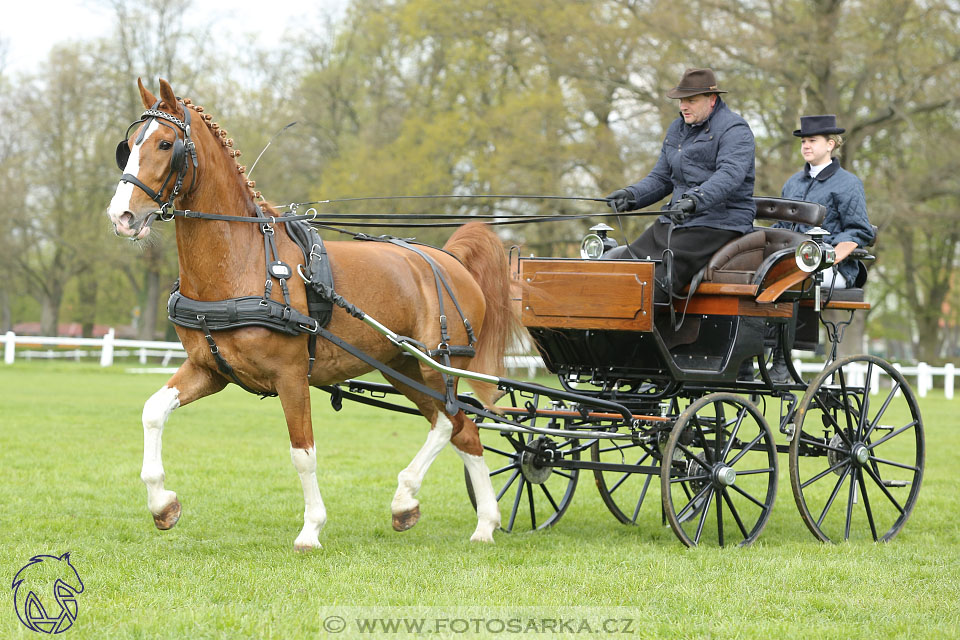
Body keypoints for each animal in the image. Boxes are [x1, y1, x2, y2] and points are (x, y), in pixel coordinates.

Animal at [107, 79, 516, 552]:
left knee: (450, 424)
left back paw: (408, 497)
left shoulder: (289, 375)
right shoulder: (209, 369)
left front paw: (311, 528)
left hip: (437, 365)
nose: (121, 215)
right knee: (463, 430)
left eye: (165, 144)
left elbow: (302, 453)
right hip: (402, 367)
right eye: (129, 146)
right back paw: (481, 523)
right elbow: (153, 411)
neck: (245, 262)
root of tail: (450, 260)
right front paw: (163, 505)